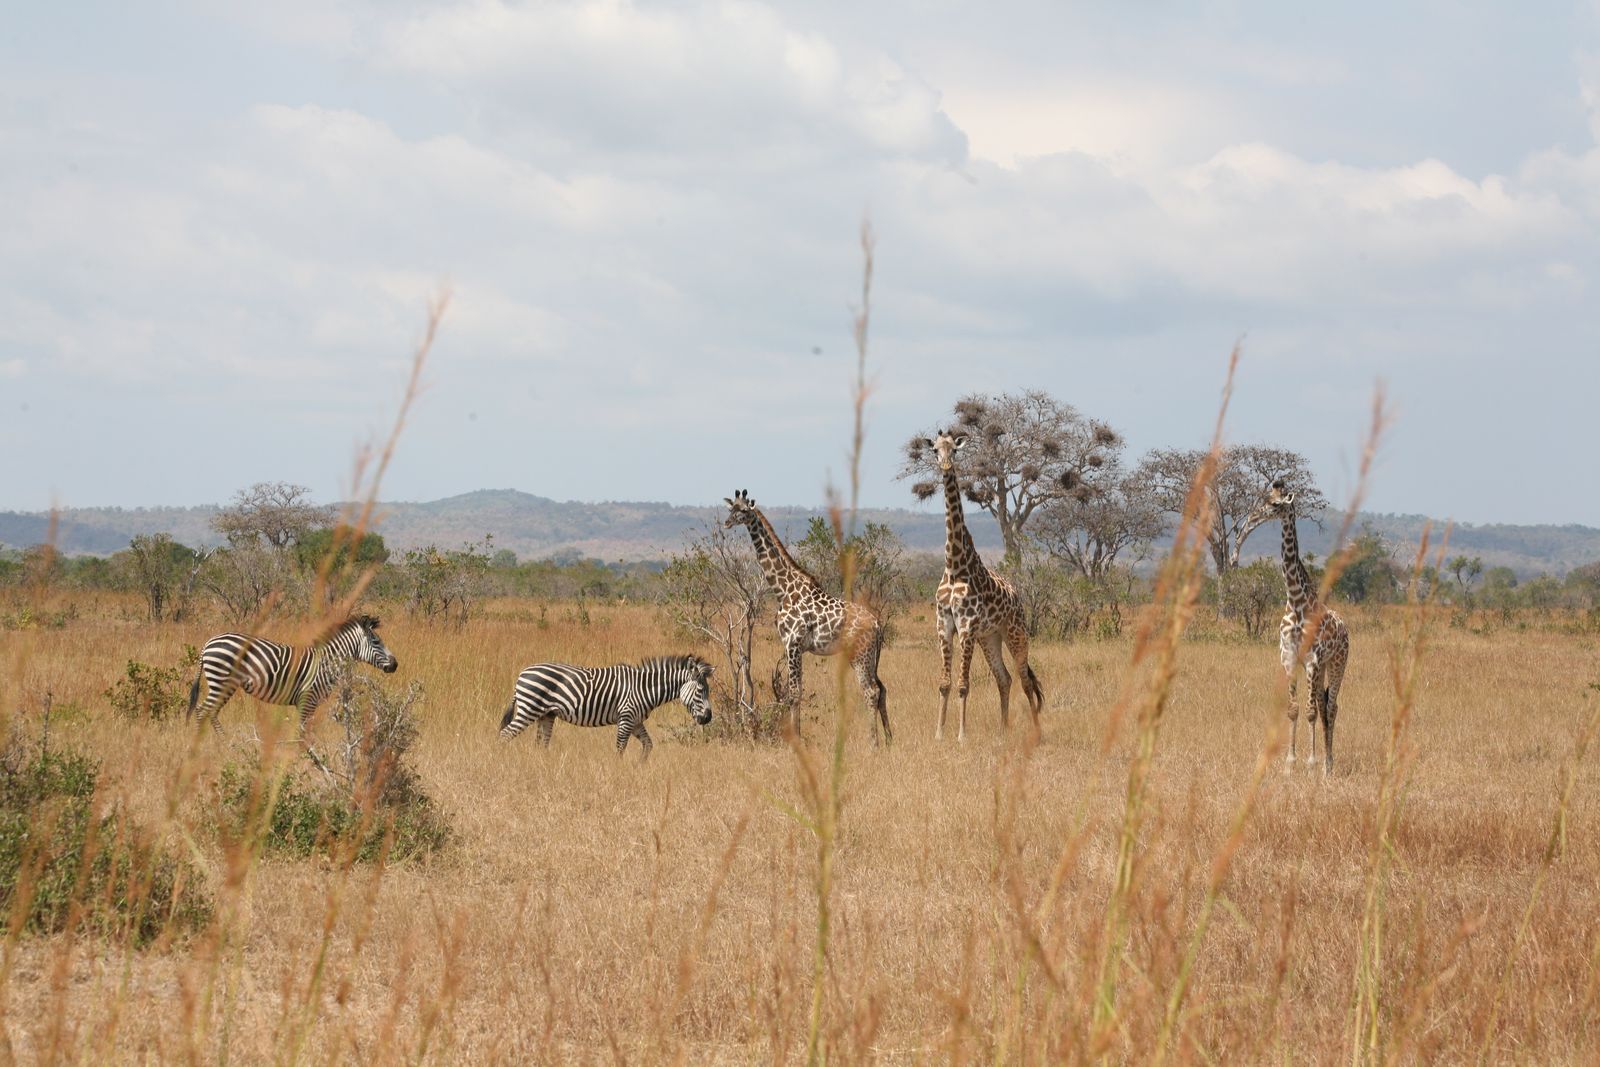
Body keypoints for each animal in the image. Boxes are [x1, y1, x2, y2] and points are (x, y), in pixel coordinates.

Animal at [188, 614, 400, 729]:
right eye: (376, 642)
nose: (395, 664)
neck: (327, 662)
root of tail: (208, 643)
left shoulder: (307, 703)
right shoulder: (308, 700)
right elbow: (303, 733)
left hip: (224, 683)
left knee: (210, 712)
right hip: (221, 679)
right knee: (202, 710)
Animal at [499, 652, 713, 758]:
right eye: (700, 690)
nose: (708, 718)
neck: (644, 688)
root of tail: (522, 673)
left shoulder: (636, 721)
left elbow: (648, 745)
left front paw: (640, 769)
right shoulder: (626, 718)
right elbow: (620, 749)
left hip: (545, 714)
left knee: (540, 744)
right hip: (529, 709)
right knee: (505, 734)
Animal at [723, 489, 896, 748]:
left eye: (743, 510)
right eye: (730, 509)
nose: (726, 523)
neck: (784, 589)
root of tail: (877, 625)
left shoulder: (792, 644)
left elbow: (794, 693)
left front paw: (796, 740)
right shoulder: (795, 647)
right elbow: (797, 691)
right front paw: (798, 736)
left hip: (860, 655)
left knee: (871, 691)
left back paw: (873, 743)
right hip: (872, 656)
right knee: (882, 689)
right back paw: (889, 740)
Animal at [921, 431, 1043, 742]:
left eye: (954, 449)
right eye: (935, 450)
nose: (946, 466)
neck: (954, 565)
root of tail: (1017, 596)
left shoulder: (966, 626)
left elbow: (963, 684)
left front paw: (962, 736)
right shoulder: (944, 624)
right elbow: (945, 683)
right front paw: (939, 734)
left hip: (1015, 632)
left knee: (1025, 680)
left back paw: (1036, 734)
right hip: (990, 637)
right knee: (1005, 678)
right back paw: (1002, 731)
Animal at [1241, 479, 1344, 771]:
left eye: (1276, 504)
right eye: (1264, 499)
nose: (1252, 520)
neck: (1296, 601)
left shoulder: (1312, 660)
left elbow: (1310, 712)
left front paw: (1310, 762)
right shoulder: (1288, 658)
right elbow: (1294, 710)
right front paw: (1290, 762)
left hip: (1337, 663)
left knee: (1331, 707)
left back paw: (1328, 764)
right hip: (1322, 669)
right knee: (1323, 704)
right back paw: (1326, 762)